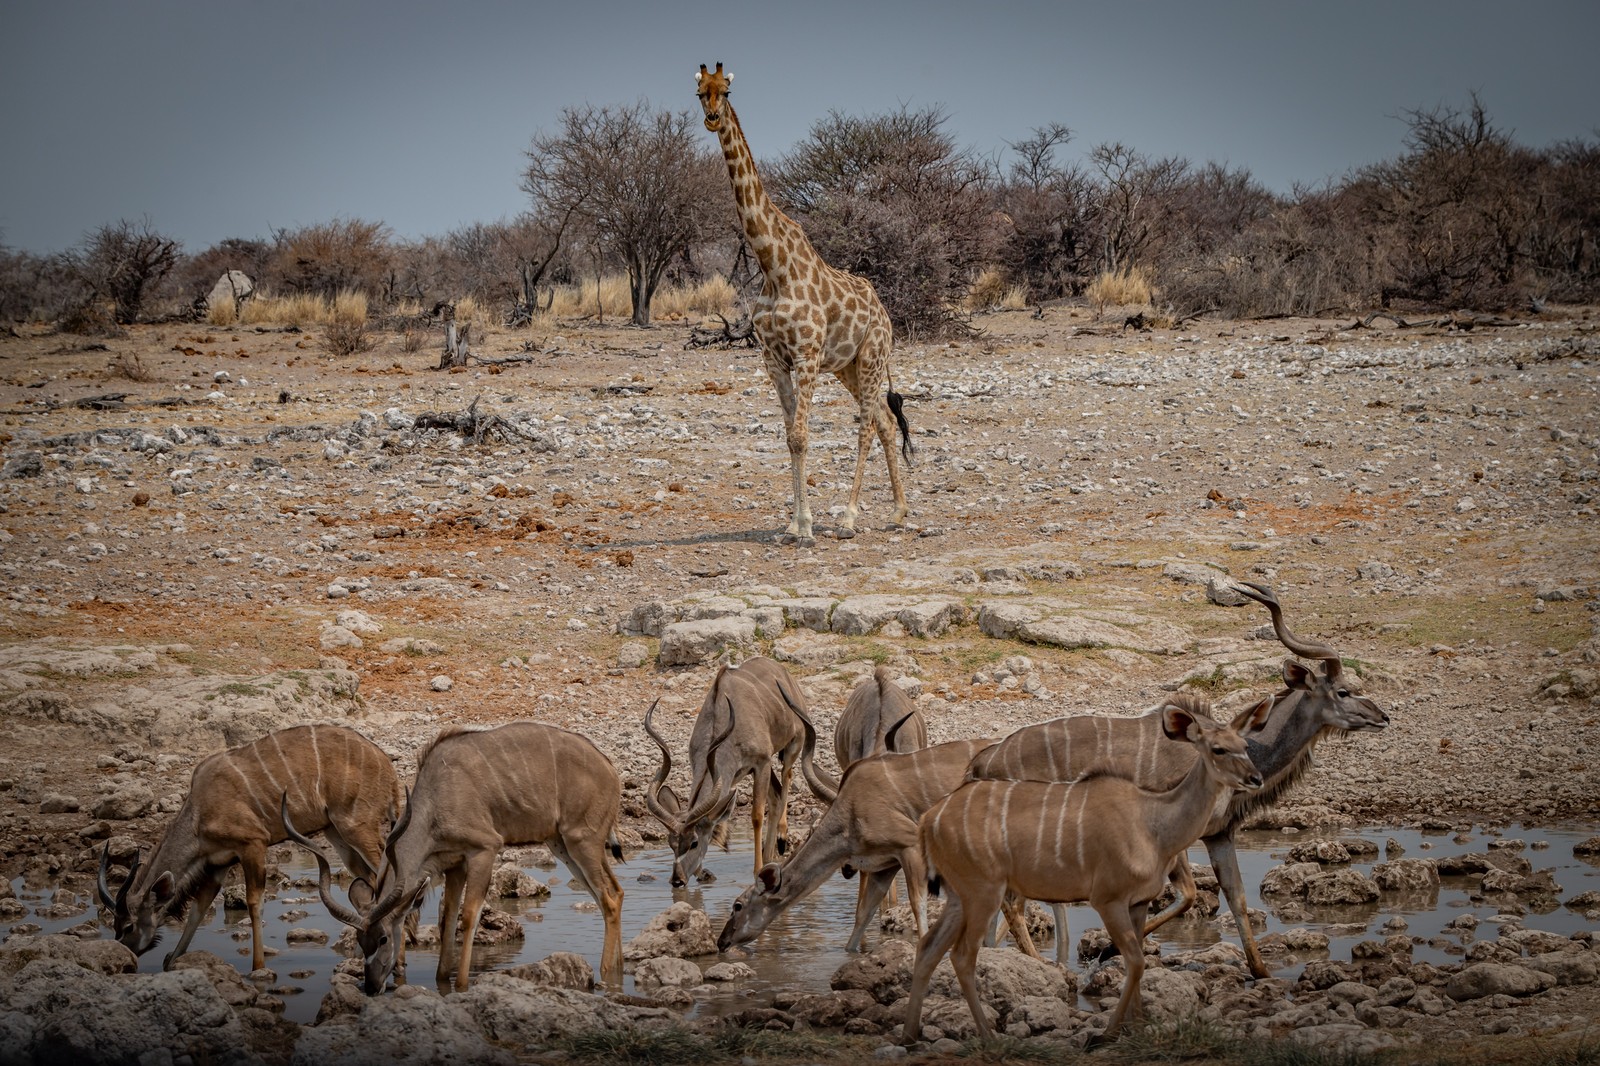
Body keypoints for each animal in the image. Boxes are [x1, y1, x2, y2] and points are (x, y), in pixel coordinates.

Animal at [694, 61, 908, 534]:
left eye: (727, 91)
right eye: (699, 92)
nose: (713, 118)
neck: (772, 264)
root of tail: (886, 314)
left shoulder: (806, 355)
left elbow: (801, 434)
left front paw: (808, 527)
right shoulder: (774, 358)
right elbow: (790, 435)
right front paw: (794, 524)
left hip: (871, 357)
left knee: (868, 425)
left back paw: (848, 516)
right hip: (847, 366)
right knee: (885, 422)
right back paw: (900, 511)